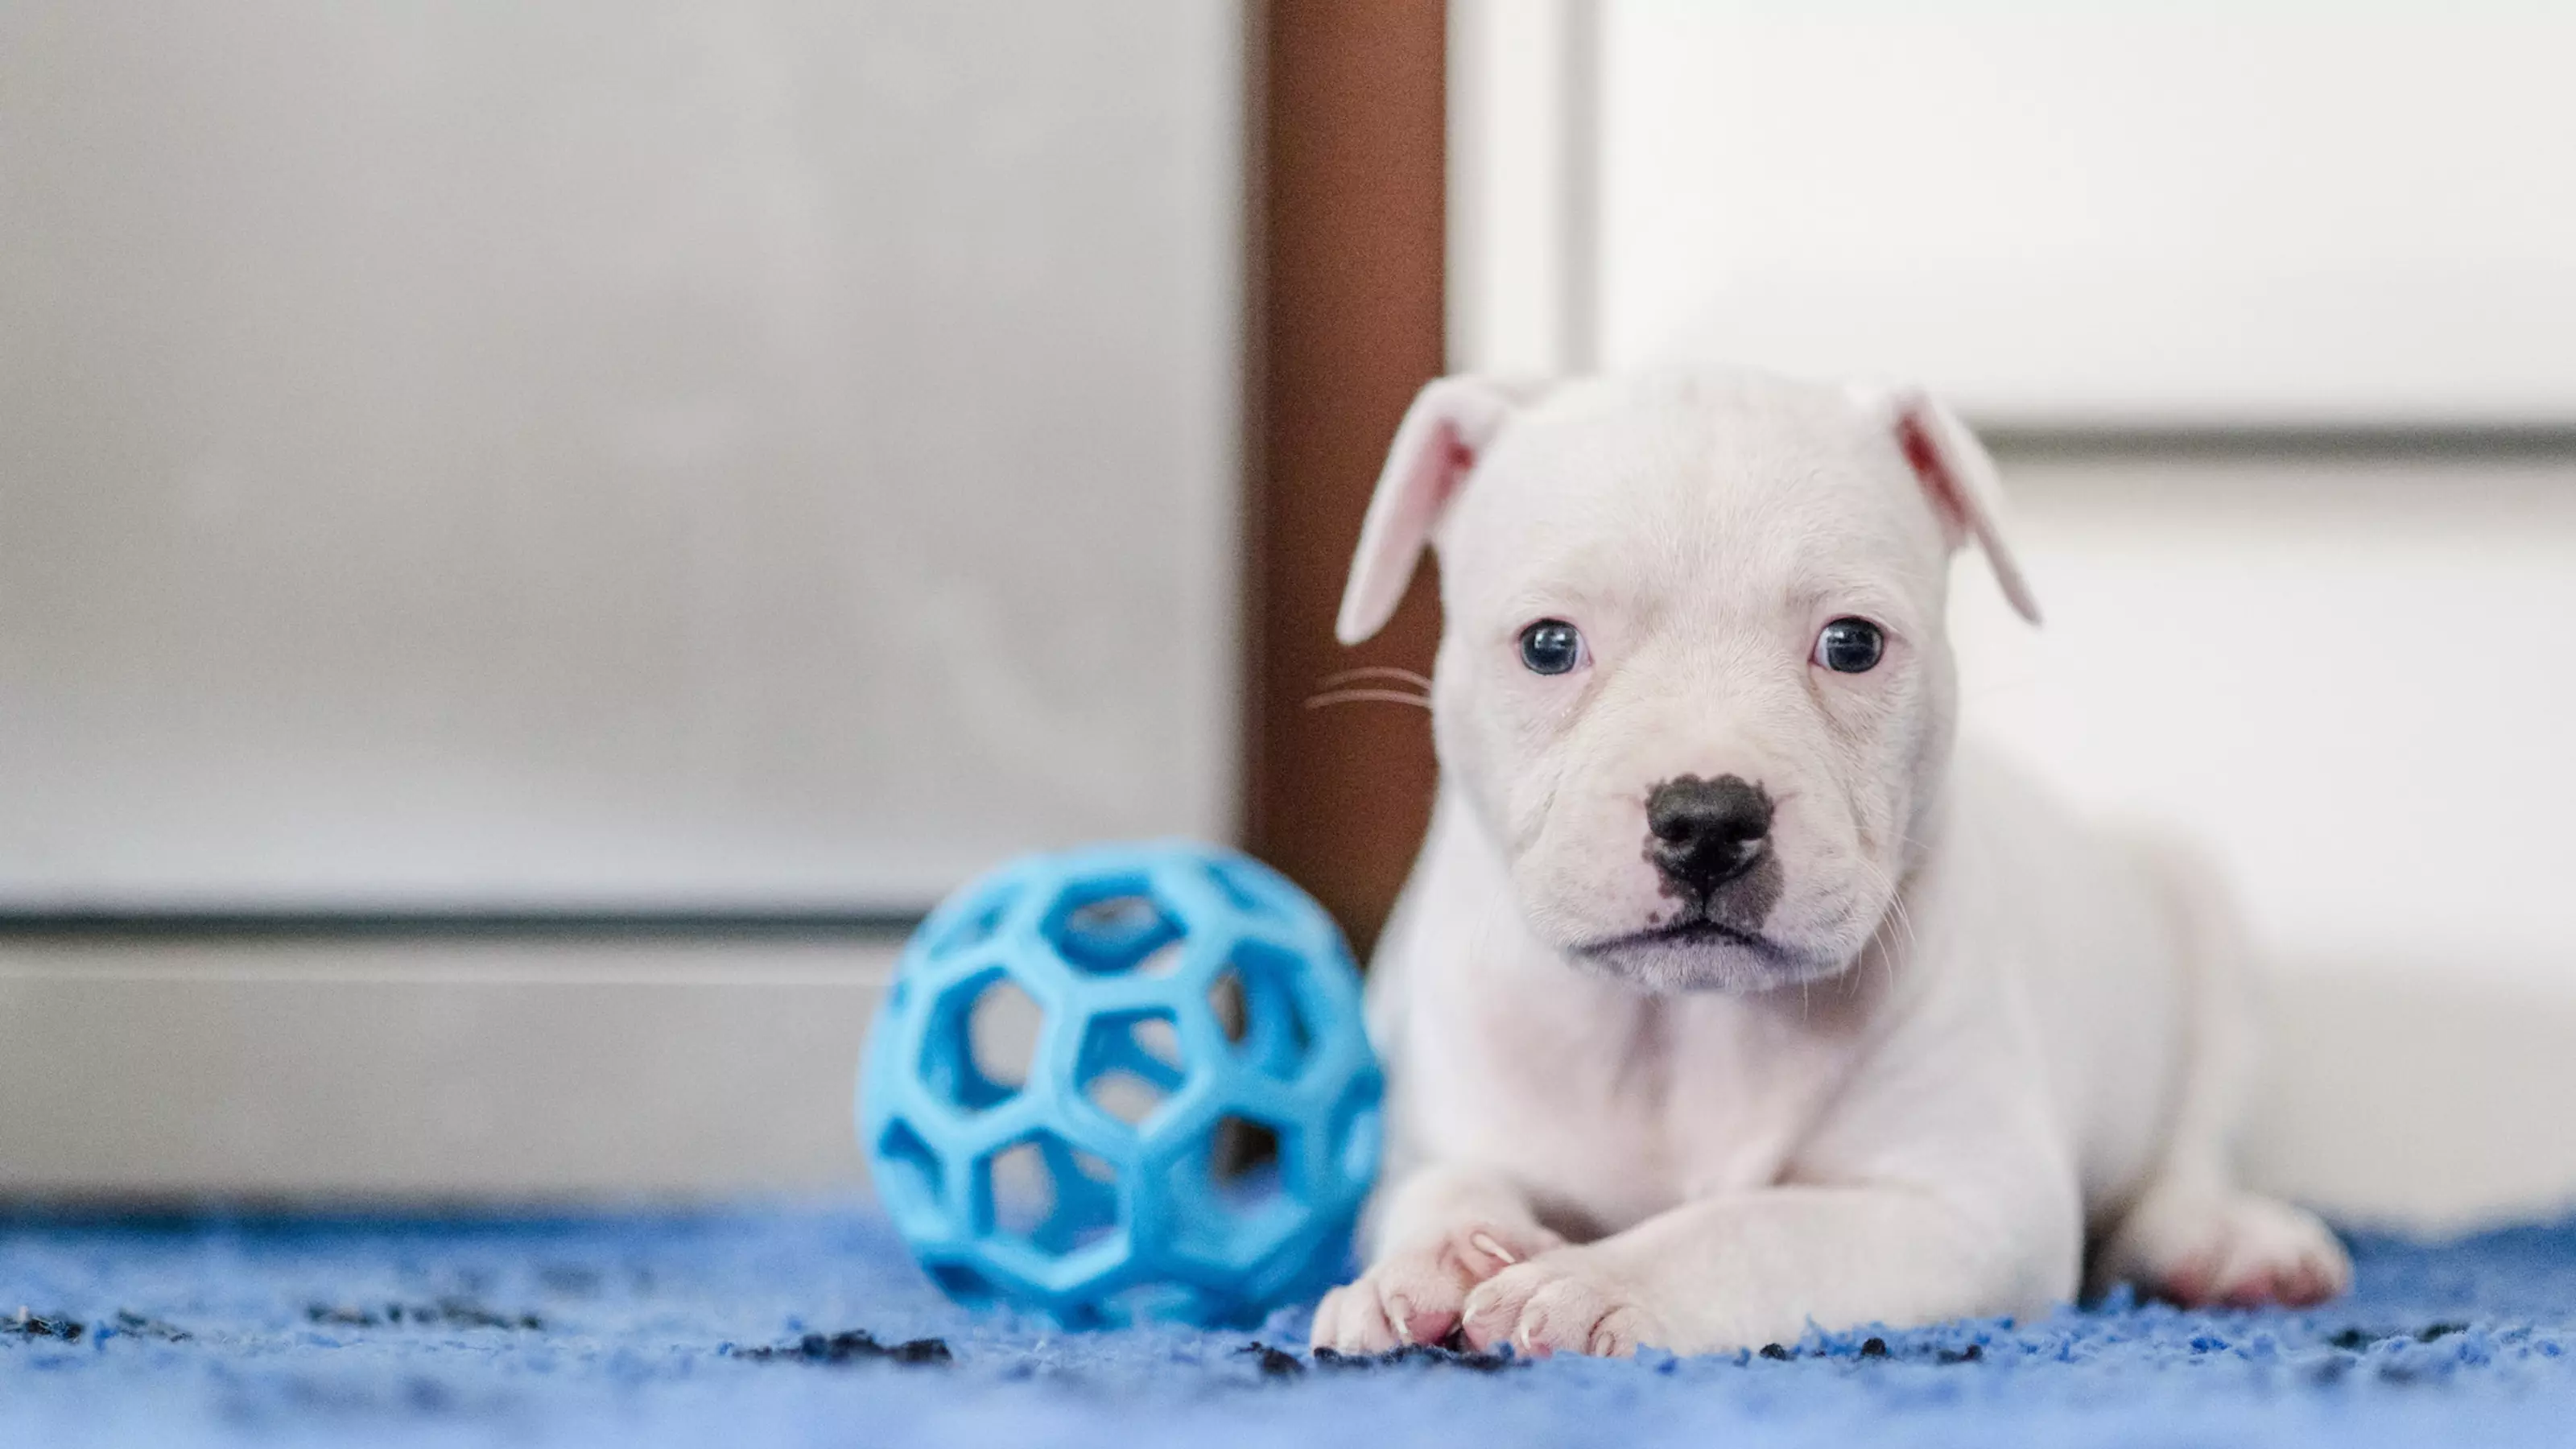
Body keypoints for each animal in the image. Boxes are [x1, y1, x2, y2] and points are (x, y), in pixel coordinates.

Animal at [1319, 361, 2349, 1351]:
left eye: (1851, 644)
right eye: (1546, 645)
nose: (1705, 820)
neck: (1687, 1030)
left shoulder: (1974, 1207)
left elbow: (1762, 1227)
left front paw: (1596, 1285)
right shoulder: (1446, 1127)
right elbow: (1436, 1186)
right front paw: (1425, 1267)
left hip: (2203, 923)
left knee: (2187, 1150)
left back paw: (2222, 1242)